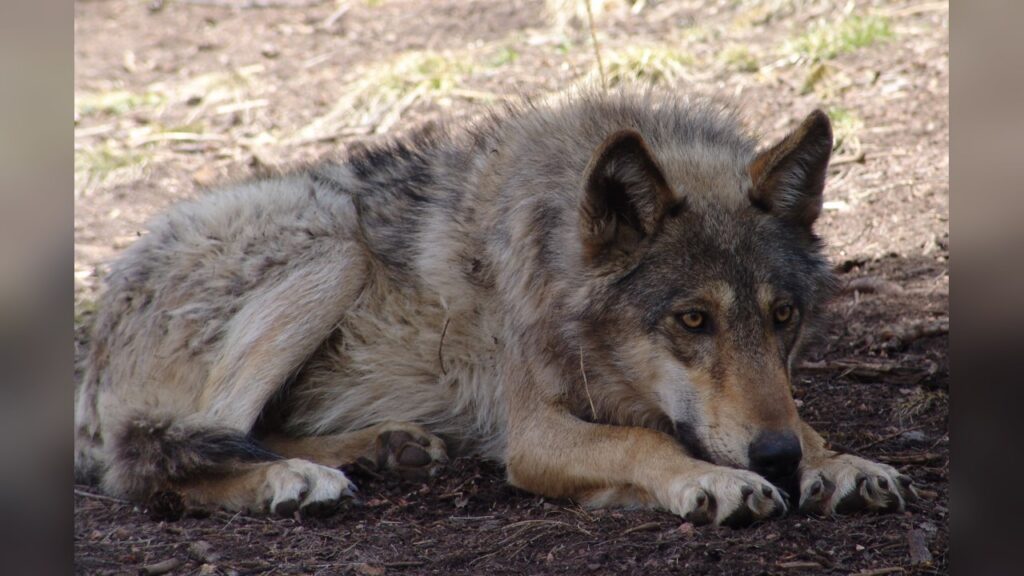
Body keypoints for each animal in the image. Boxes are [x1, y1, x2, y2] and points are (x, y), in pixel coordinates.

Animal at [75, 88, 915, 526]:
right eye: (692, 321)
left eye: (783, 318)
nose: (775, 459)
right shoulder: (534, 432)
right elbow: (642, 444)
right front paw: (719, 481)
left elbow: (800, 417)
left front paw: (836, 462)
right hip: (333, 247)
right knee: (152, 460)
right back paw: (292, 480)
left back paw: (383, 448)